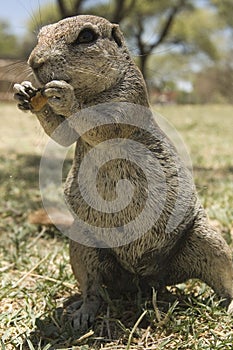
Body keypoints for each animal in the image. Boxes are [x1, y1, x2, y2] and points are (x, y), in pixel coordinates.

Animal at [13, 14, 233, 330]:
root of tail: (145, 279)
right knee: (93, 288)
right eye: (40, 34)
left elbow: (101, 124)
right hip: (83, 248)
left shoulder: (128, 96)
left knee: (223, 279)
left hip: (207, 240)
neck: (90, 92)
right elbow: (62, 132)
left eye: (87, 36)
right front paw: (24, 92)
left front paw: (64, 97)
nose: (34, 61)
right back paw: (82, 312)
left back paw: (229, 305)